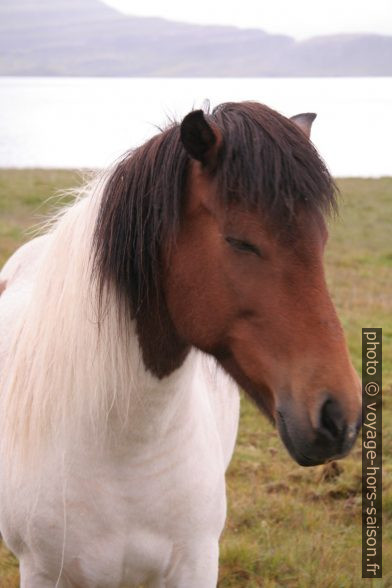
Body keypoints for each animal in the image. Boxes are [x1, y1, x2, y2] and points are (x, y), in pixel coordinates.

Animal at [0, 101, 362, 584]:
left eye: (321, 240)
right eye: (240, 241)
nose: (339, 417)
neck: (127, 451)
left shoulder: (195, 565)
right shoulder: (44, 572)